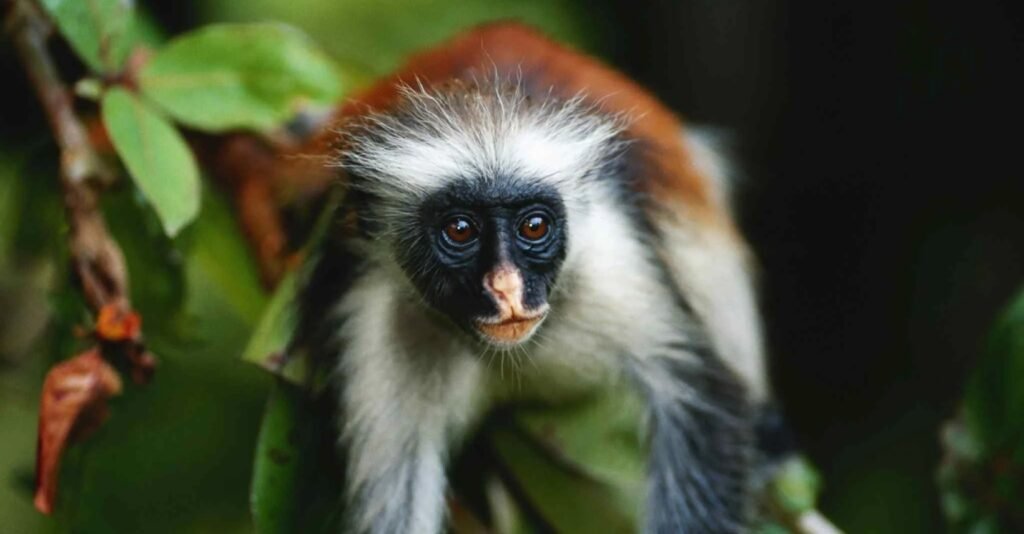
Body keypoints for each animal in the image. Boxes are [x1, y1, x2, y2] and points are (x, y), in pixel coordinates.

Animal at [293, 22, 783, 534]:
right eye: (460, 230)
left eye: (534, 226)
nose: (507, 288)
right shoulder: (379, 315)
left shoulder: (611, 263)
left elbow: (702, 396)